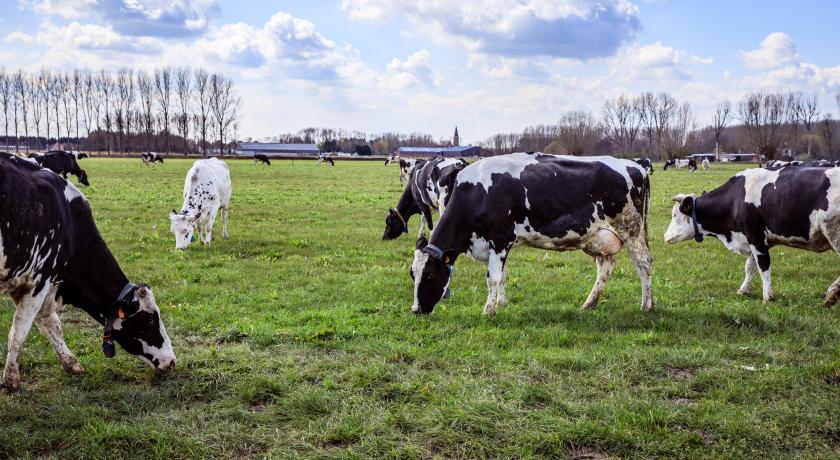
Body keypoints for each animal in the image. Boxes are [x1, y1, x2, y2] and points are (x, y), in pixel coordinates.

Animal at [0, 153, 175, 391]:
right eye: (150, 320)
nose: (172, 361)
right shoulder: (38, 281)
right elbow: (19, 332)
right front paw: (10, 380)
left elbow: (51, 324)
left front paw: (71, 363)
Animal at [410, 152, 652, 315]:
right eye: (413, 274)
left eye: (429, 275)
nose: (416, 310)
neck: (476, 193)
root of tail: (635, 164)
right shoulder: (500, 244)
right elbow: (503, 275)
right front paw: (502, 303)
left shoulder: (500, 239)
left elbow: (493, 278)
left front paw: (488, 310)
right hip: (598, 237)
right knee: (606, 267)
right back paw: (588, 304)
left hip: (631, 228)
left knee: (644, 263)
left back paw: (646, 306)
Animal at [665, 166, 840, 305]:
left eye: (674, 214)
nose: (665, 236)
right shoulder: (754, 240)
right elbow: (750, 267)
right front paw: (743, 290)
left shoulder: (755, 235)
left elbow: (763, 266)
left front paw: (768, 297)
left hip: (834, 234)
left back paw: (831, 293)